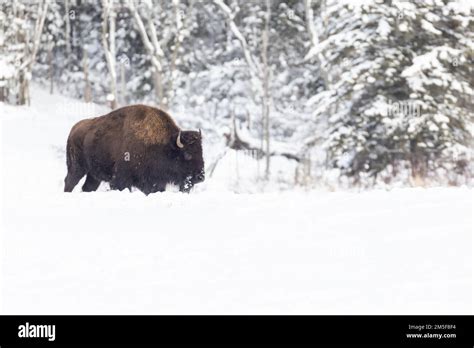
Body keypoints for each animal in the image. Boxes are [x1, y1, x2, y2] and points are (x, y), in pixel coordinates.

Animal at [63, 104, 204, 194]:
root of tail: (74, 129)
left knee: (88, 187)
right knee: (69, 181)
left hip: (93, 175)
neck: (165, 145)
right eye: (187, 154)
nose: (200, 177)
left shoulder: (155, 182)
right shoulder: (121, 179)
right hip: (77, 167)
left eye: (202, 153)